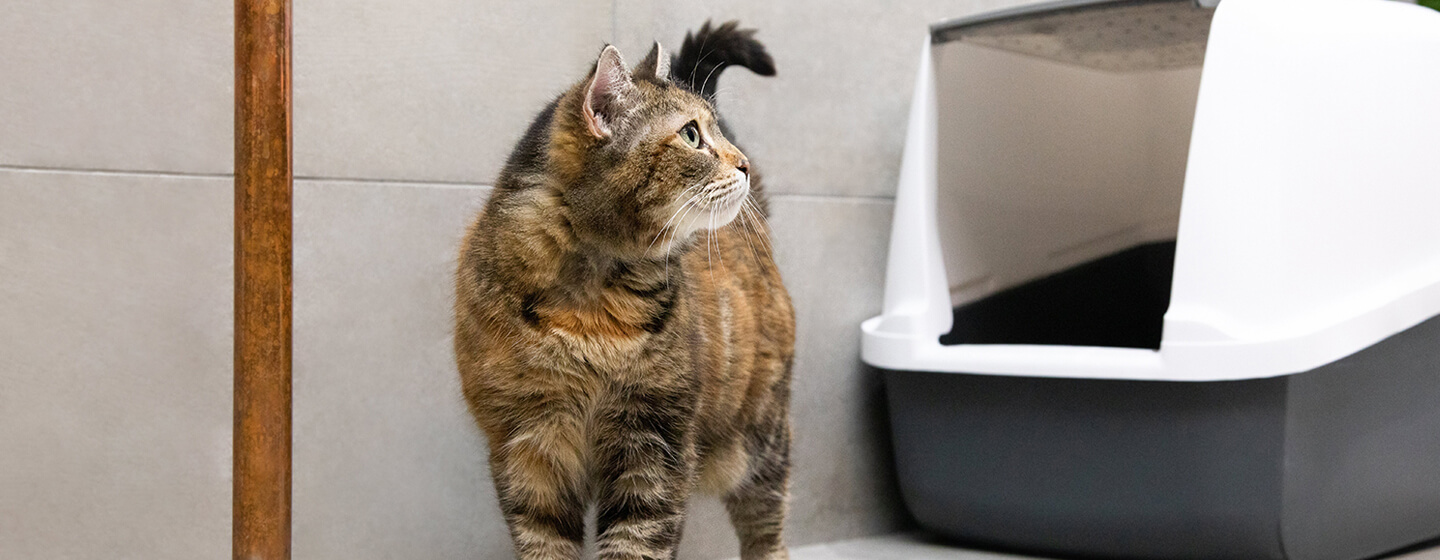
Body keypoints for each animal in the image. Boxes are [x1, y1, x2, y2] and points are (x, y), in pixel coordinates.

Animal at [452, 19, 800, 555]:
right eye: (692, 134)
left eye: (713, 131)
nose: (741, 163)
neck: (591, 305)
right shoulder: (527, 449)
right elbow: (544, 542)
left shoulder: (655, 449)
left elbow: (636, 544)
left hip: (760, 444)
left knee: (768, 532)